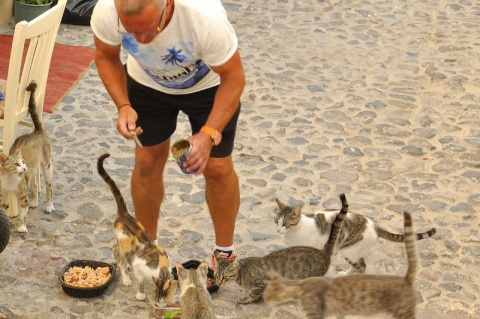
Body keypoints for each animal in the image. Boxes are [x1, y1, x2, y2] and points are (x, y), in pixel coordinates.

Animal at [96, 154, 177, 304]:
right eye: (156, 296)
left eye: (165, 298)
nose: (159, 304)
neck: (161, 268)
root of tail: (125, 214)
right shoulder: (139, 266)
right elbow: (140, 281)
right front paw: (140, 294)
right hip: (122, 245)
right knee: (118, 254)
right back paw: (126, 278)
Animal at [214, 194, 348, 306]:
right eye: (216, 276)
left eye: (225, 277)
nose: (218, 283)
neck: (242, 273)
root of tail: (322, 251)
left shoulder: (260, 283)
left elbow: (252, 294)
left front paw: (244, 299)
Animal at [274, 198, 436, 276]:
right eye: (276, 221)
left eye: (286, 224)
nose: (278, 230)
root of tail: (374, 225)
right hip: (353, 251)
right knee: (358, 264)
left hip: (348, 250)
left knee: (362, 266)